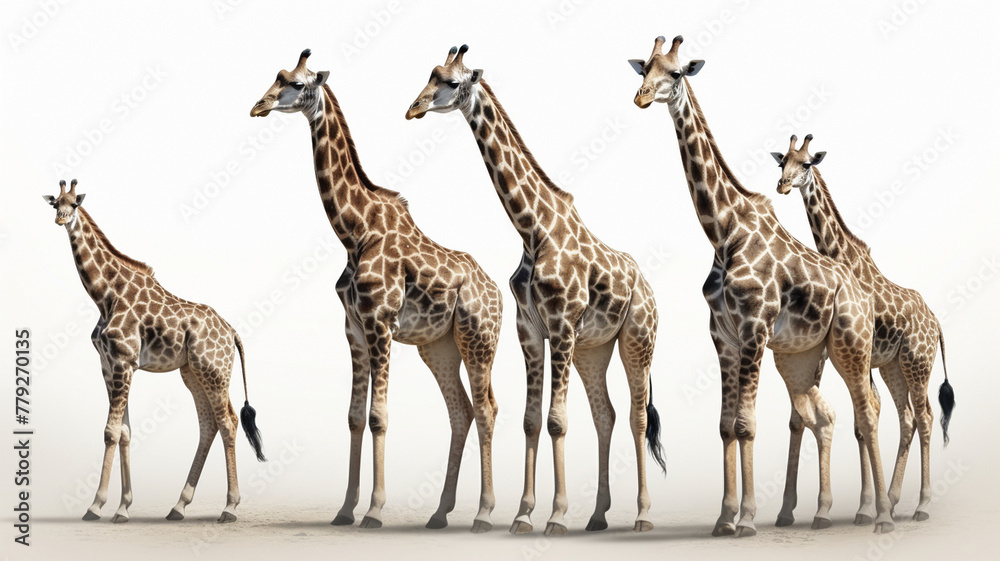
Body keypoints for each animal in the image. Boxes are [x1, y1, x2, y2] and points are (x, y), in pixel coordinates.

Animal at [43, 180, 265, 524]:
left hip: (214, 371)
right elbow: (125, 431)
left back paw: (229, 507)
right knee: (209, 424)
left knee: (227, 422)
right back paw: (179, 506)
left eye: (74, 203)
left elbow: (110, 431)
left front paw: (96, 506)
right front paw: (122, 507)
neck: (105, 295)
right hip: (194, 373)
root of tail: (232, 332)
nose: (61, 219)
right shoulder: (109, 364)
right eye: (56, 203)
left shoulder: (123, 361)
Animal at [250, 49, 503, 533]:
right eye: (277, 77)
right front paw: (344, 509)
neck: (354, 232)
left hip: (478, 339)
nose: (258, 106)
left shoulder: (380, 323)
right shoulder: (353, 328)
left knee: (486, 408)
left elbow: (378, 416)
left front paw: (374, 509)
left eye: (295, 84)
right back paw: (440, 513)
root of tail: (497, 292)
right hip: (438, 346)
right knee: (461, 410)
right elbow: (353, 417)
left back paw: (483, 512)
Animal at [406, 45, 665, 535]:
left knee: (638, 415)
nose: (413, 108)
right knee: (606, 414)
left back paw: (643, 515)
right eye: (429, 75)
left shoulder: (561, 325)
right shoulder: (530, 329)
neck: (533, 230)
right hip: (592, 349)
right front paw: (523, 514)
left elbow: (556, 420)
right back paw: (598, 515)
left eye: (451, 82)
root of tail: (648, 286)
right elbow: (530, 420)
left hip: (638, 339)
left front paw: (557, 515)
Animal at [628, 35, 894, 535]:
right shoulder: (723, 335)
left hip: (851, 345)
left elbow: (747, 424)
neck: (723, 230)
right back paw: (834, 511)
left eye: (677, 72)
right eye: (644, 67)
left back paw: (882, 514)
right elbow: (725, 425)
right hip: (803, 355)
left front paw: (748, 518)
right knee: (827, 414)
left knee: (867, 411)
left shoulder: (753, 327)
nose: (641, 97)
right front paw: (724, 517)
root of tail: (863, 297)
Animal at [771, 134, 955, 523]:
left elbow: (860, 417)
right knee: (908, 418)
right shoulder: (845, 356)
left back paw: (922, 505)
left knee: (926, 416)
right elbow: (831, 419)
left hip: (919, 363)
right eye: (781, 163)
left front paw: (861, 508)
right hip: (894, 367)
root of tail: (936, 323)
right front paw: (865, 507)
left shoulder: (848, 352)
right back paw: (896, 498)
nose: (782, 185)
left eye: (806, 164)